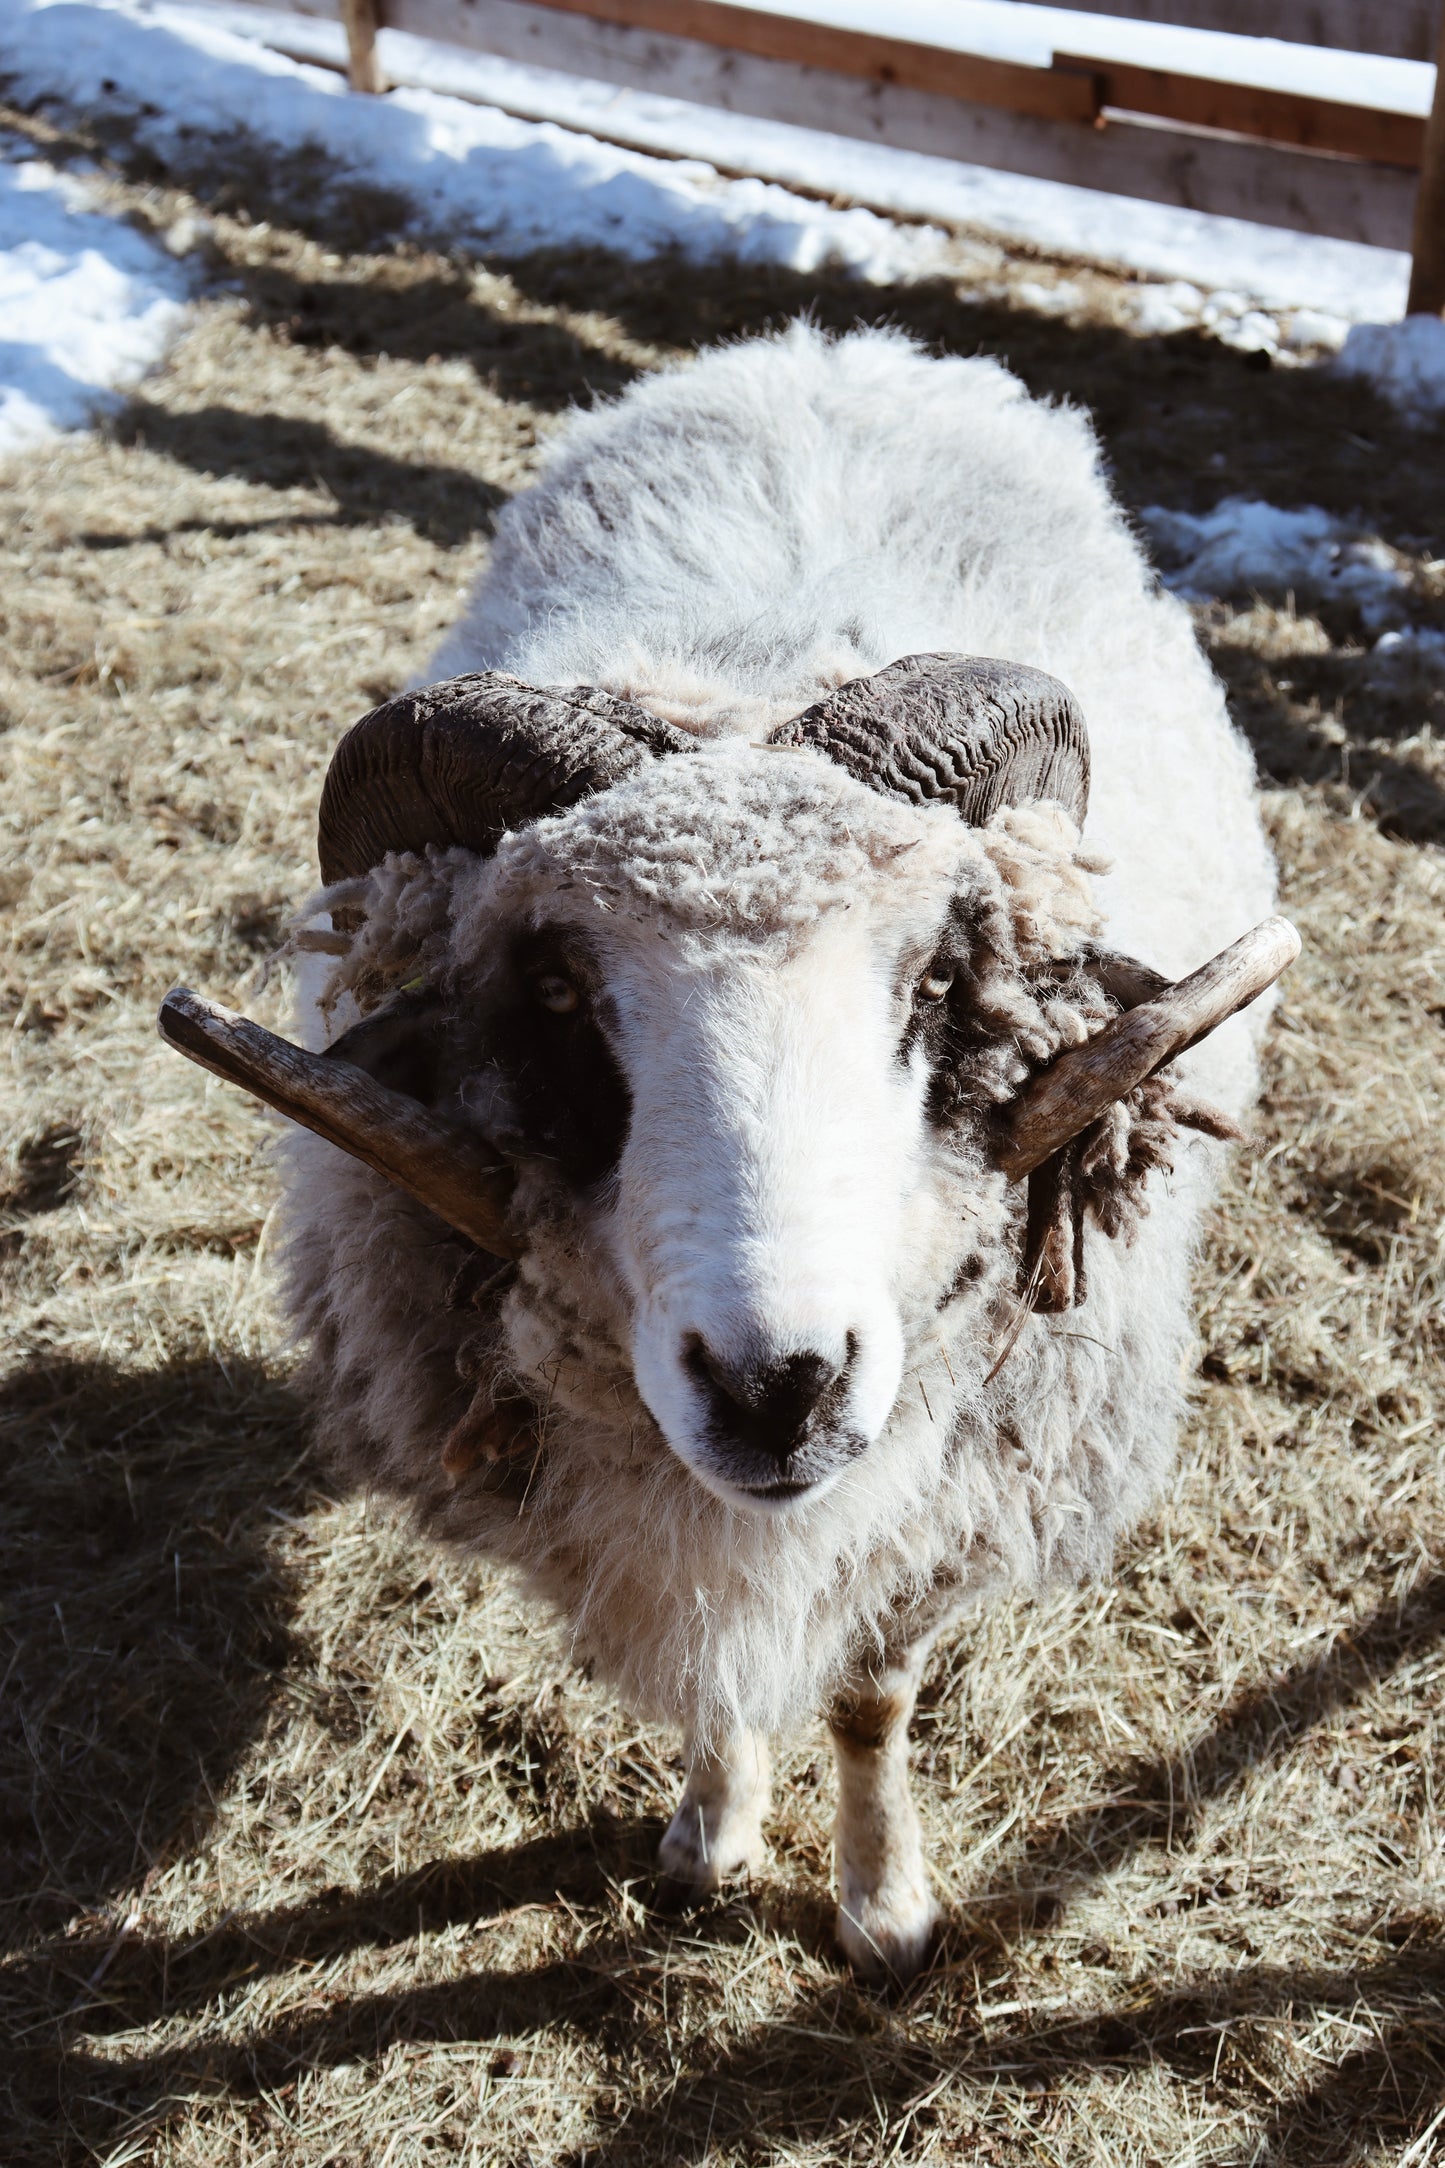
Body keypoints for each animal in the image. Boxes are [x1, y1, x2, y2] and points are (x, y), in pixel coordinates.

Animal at [161, 325, 1291, 1985]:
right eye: (555, 993)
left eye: (939, 980)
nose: (779, 1385)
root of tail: (834, 342)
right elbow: (713, 1671)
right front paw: (711, 1832)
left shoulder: (937, 1486)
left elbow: (873, 1700)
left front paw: (884, 1908)